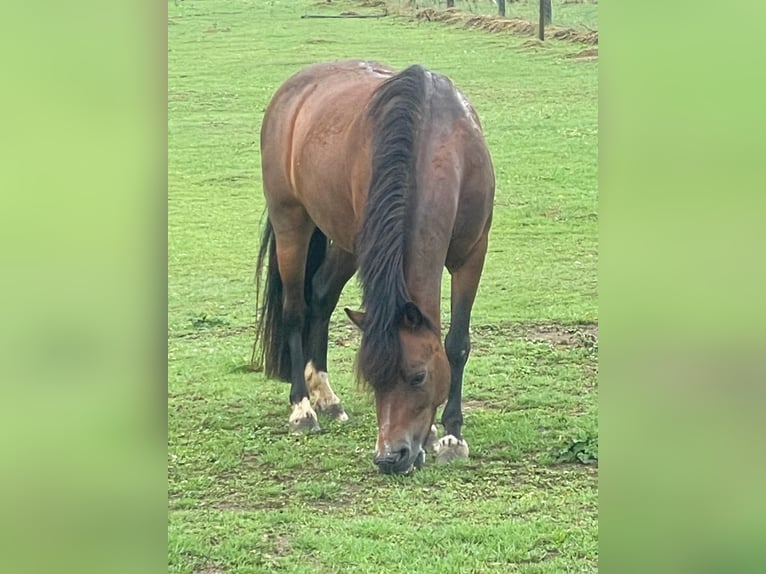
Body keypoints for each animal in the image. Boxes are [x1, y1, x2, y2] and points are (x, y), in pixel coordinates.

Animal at [252, 60, 494, 474]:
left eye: (418, 376)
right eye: (372, 379)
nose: (389, 457)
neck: (442, 141)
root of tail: (294, 88)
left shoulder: (472, 255)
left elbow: (456, 343)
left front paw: (450, 435)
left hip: (345, 240)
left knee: (321, 294)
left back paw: (327, 397)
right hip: (291, 224)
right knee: (295, 310)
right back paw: (302, 407)